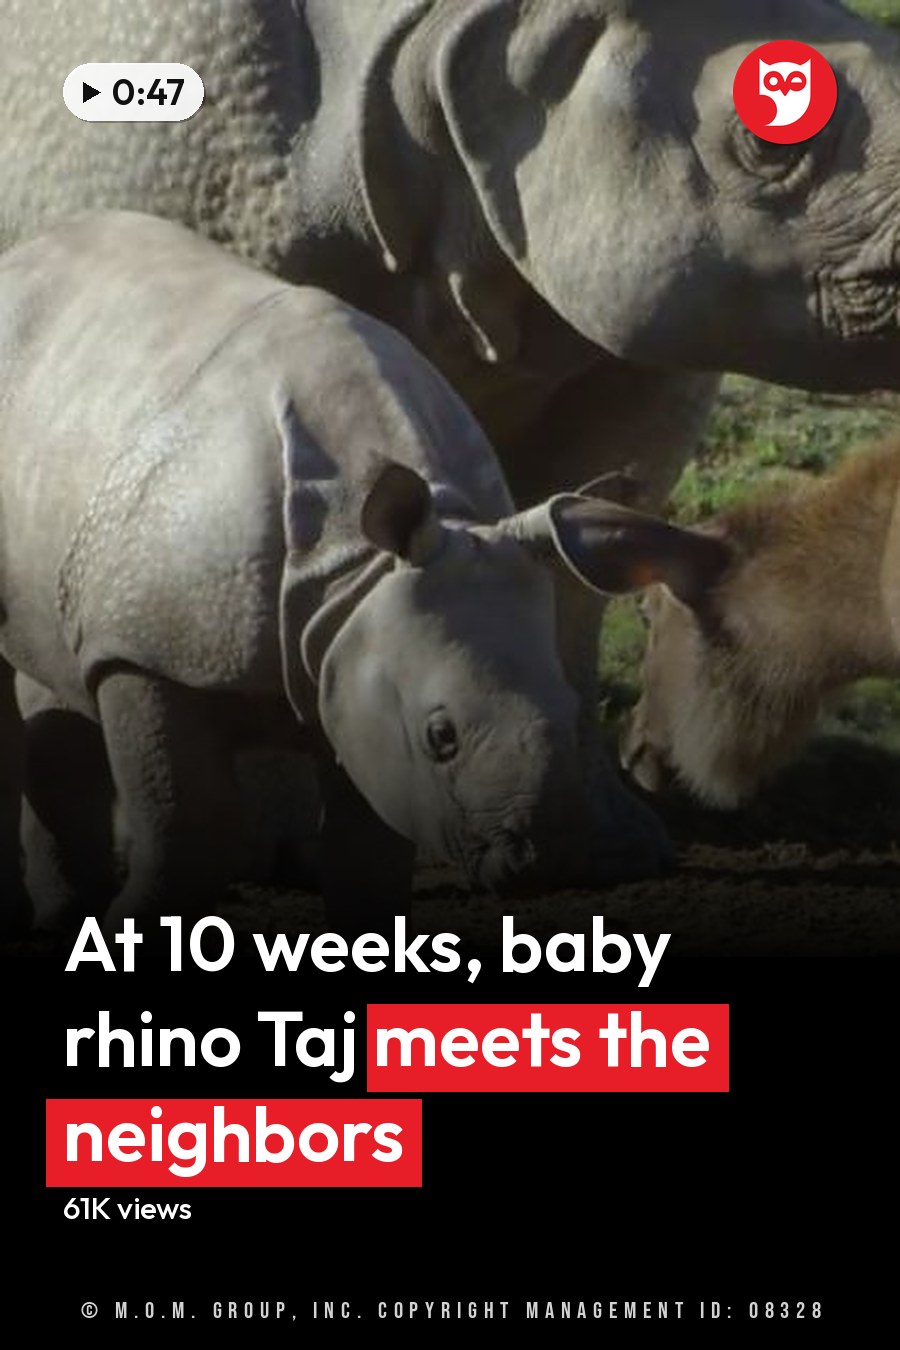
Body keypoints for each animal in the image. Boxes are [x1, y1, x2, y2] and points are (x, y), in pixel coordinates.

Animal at [0, 211, 672, 934]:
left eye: (576, 711)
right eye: (441, 736)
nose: (538, 866)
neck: (352, 561)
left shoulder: (355, 656)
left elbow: (368, 852)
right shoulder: (148, 645)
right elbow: (189, 827)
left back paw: (60, 918)